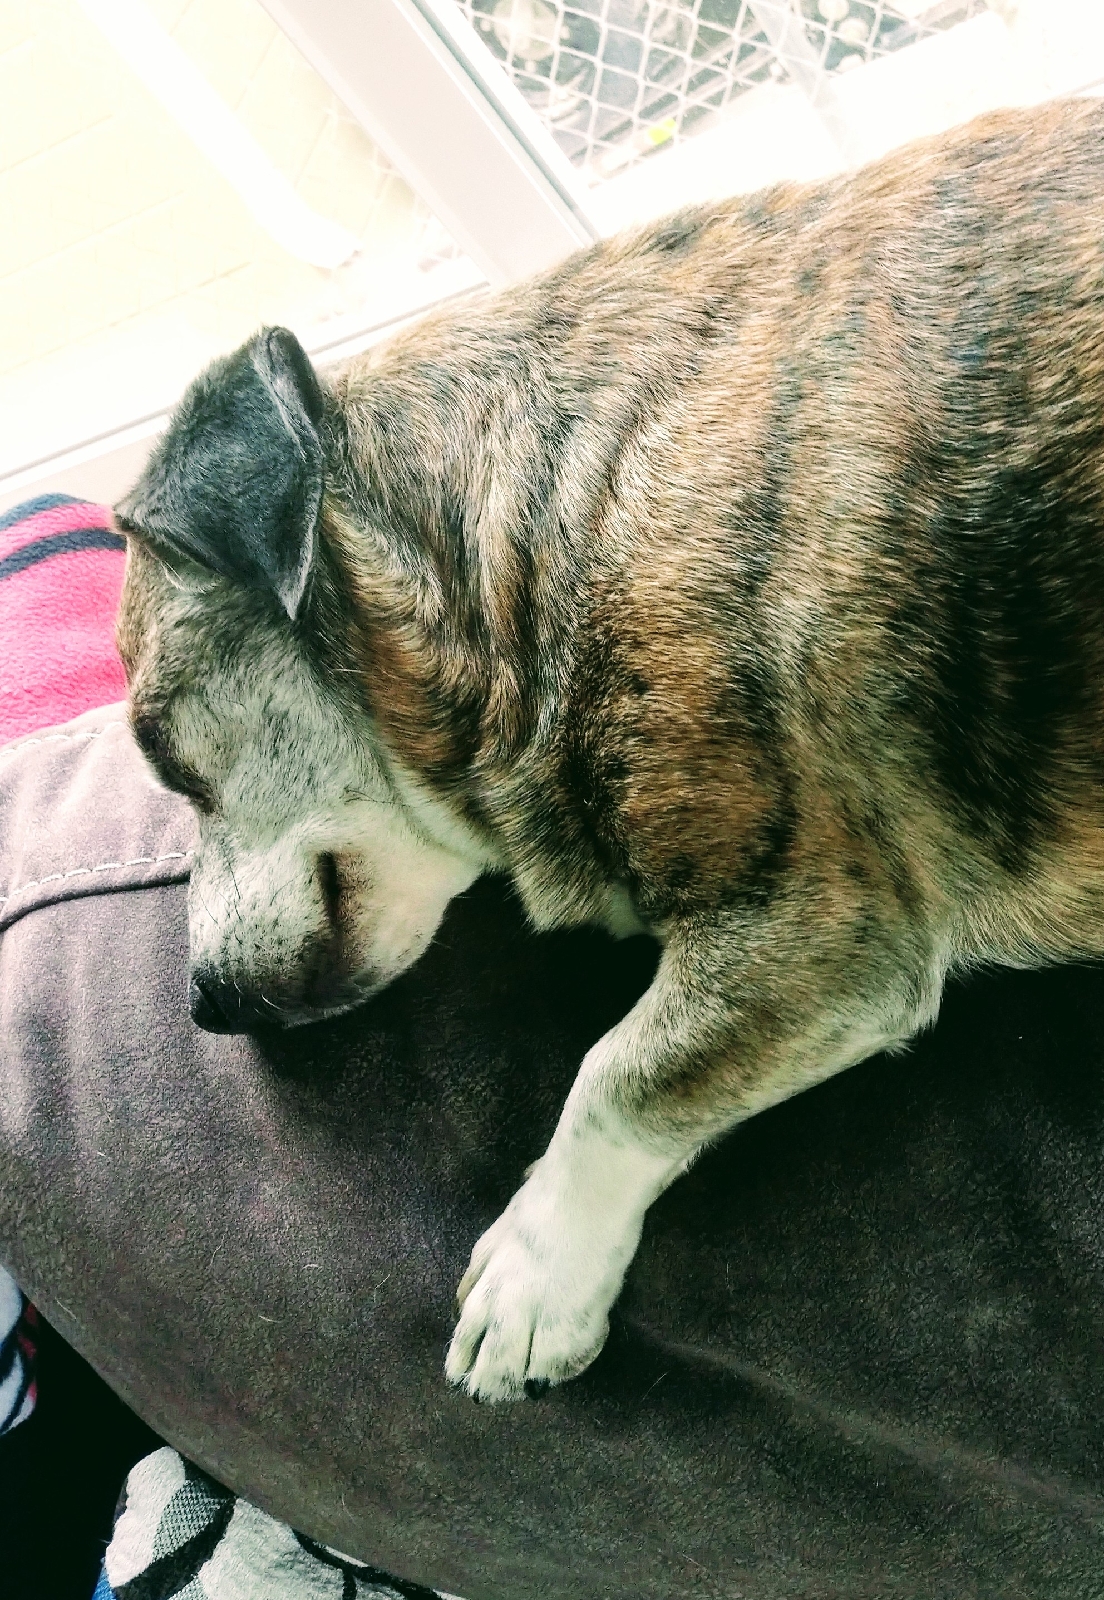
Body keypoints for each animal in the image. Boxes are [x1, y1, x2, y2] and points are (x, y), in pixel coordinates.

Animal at [115, 97, 1104, 1403]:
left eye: (159, 750)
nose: (200, 1007)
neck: (535, 531)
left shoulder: (822, 931)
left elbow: (616, 1075)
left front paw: (542, 1267)